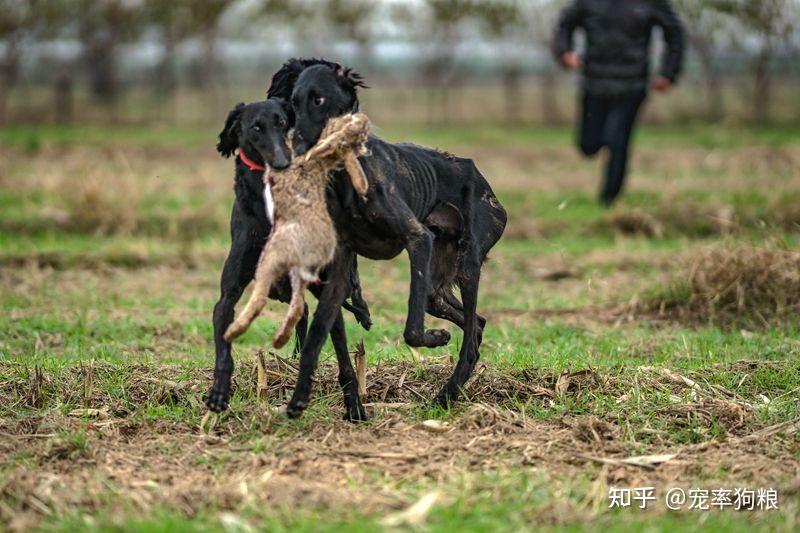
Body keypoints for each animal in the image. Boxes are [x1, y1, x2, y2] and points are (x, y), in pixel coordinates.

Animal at [205, 96, 370, 420]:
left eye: (282, 122)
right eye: (256, 128)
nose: (283, 162)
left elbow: (330, 352)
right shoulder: (227, 296)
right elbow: (224, 341)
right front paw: (218, 392)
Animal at [268, 59, 506, 420]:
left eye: (319, 99)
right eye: (293, 103)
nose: (295, 149)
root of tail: (479, 176)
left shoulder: (418, 239)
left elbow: (411, 330)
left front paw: (436, 338)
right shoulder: (339, 272)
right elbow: (316, 339)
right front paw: (310, 401)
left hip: (468, 263)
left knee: (468, 337)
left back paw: (447, 393)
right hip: (437, 290)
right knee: (475, 324)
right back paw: (451, 391)